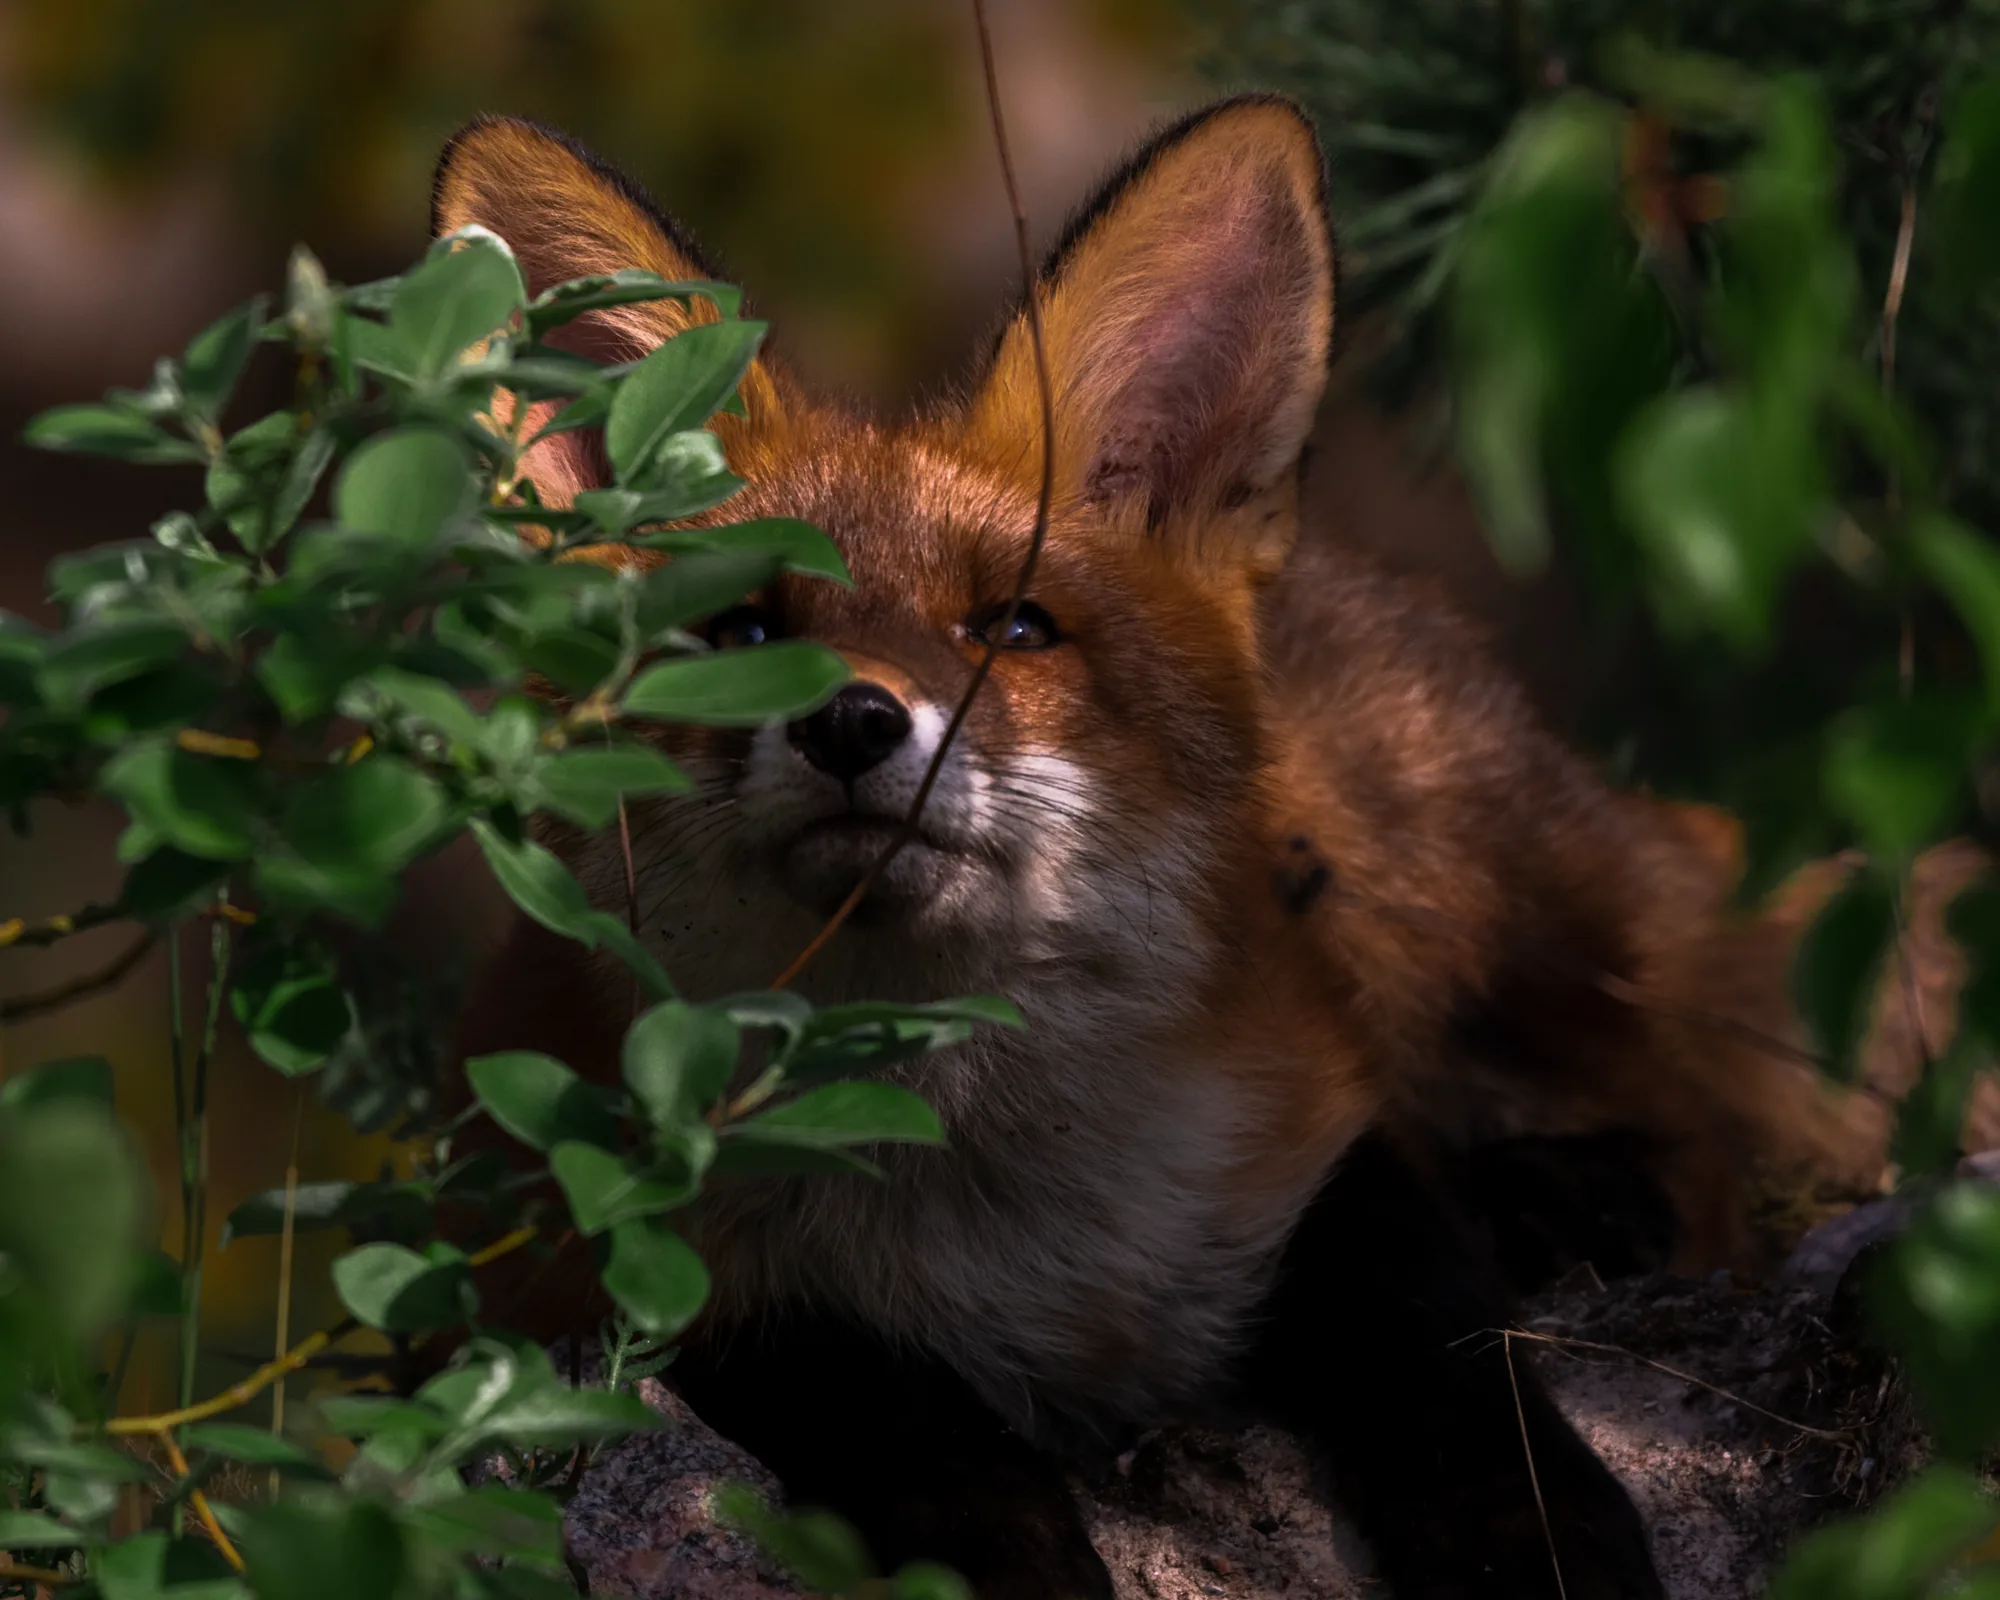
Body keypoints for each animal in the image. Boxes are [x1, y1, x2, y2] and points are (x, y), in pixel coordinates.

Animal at [432, 97, 1991, 1598]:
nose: (855, 722)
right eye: (740, 633)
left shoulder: (1310, 1126)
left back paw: (1569, 1193)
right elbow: (858, 1384)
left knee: (1700, 1143)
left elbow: (1436, 1342)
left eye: (1012, 628)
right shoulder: (559, 1256)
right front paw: (1006, 1547)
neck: (994, 1211)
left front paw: (1537, 1536)